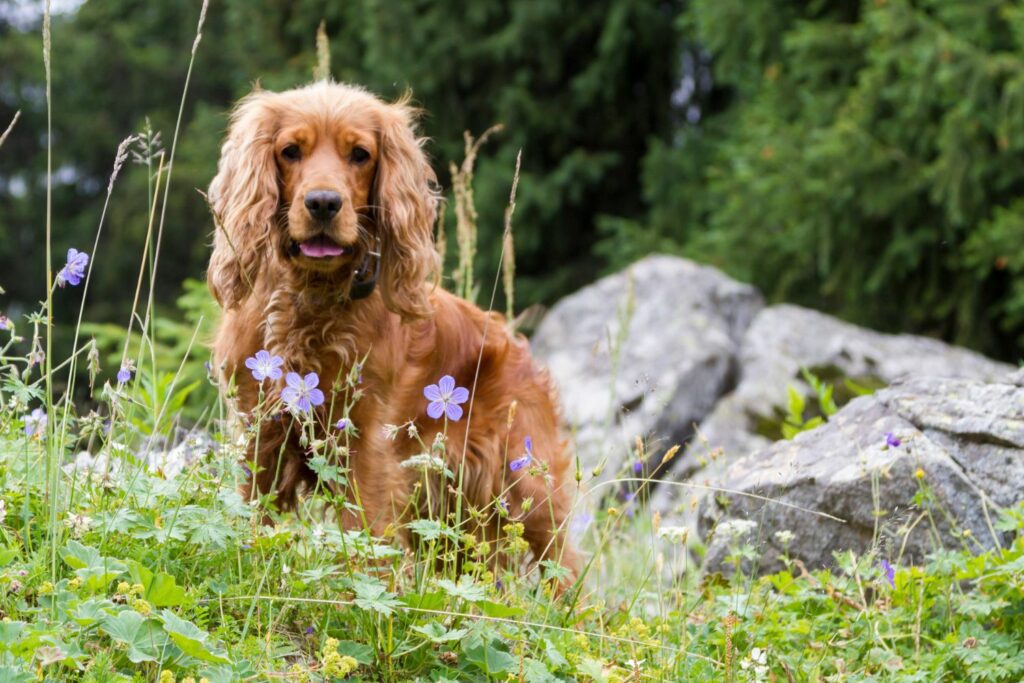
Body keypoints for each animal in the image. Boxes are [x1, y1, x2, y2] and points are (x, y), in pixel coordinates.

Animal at [204, 81, 581, 581]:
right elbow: (251, 518)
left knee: (566, 568)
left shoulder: (367, 445)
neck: (313, 297)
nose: (323, 203)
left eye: (360, 154)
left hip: (525, 485)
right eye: (290, 151)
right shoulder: (258, 430)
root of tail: (520, 347)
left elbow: (364, 538)